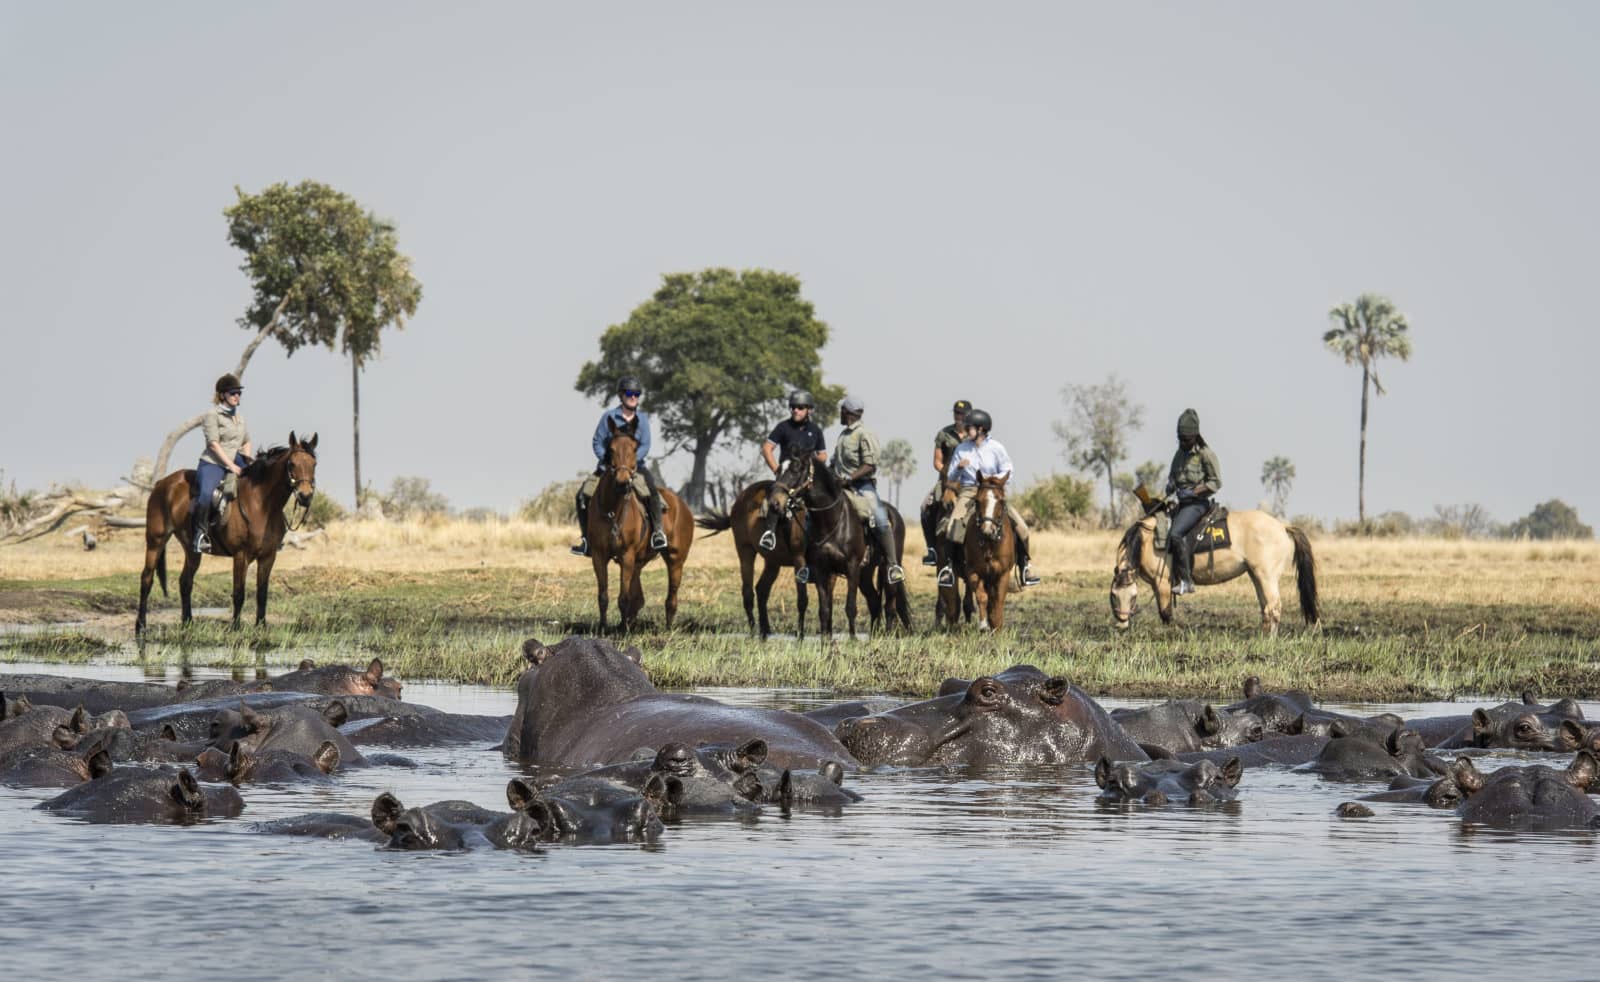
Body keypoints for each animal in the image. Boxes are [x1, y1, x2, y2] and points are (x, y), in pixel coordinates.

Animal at [136, 432, 318, 634]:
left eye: (314, 464)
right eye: (292, 464)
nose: (305, 496)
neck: (261, 504)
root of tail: (162, 483)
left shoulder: (268, 556)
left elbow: (262, 593)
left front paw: (261, 626)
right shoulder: (241, 555)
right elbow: (239, 593)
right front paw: (236, 628)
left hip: (191, 549)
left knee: (185, 582)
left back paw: (188, 623)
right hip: (156, 541)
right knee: (146, 579)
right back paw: (141, 626)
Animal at [587, 417, 695, 632]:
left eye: (635, 448)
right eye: (611, 448)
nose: (622, 482)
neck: (612, 511)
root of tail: (683, 505)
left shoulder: (626, 555)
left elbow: (623, 597)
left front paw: (622, 631)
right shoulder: (598, 555)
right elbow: (603, 596)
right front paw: (604, 627)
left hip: (675, 559)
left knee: (671, 597)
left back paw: (667, 629)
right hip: (639, 561)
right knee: (638, 598)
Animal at [940, 473, 1016, 631]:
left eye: (1001, 501)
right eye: (977, 500)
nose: (987, 531)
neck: (989, 545)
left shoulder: (1003, 573)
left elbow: (998, 601)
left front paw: (997, 627)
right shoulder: (974, 572)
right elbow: (982, 597)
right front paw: (983, 626)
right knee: (954, 600)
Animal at [1110, 508, 1319, 635]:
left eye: (1133, 597)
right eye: (1113, 595)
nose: (1121, 624)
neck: (1146, 542)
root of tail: (1283, 527)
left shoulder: (1162, 582)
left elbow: (1165, 613)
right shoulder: (1155, 584)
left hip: (1266, 576)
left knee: (1274, 606)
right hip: (1256, 575)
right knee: (1266, 607)